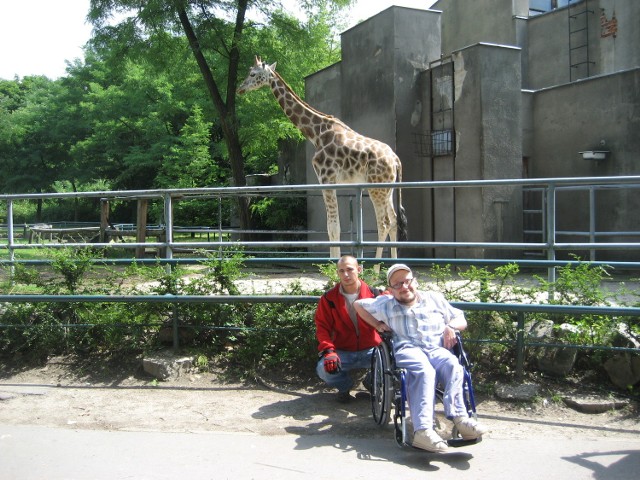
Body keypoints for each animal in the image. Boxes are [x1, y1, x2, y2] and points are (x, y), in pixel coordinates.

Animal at [238, 58, 408, 264]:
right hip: (387, 188)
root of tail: (395, 159)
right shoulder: (328, 181)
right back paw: (394, 265)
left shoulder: (326, 178)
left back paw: (376, 269)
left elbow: (333, 227)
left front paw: (334, 267)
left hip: (376, 187)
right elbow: (331, 227)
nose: (240, 89)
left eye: (253, 74)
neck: (316, 134)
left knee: (384, 223)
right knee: (394, 221)